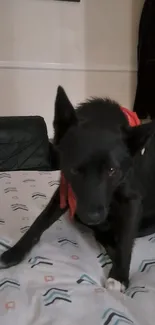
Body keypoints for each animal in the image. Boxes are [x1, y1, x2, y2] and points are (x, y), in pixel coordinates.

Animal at [0, 86, 155, 292]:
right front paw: (15, 252)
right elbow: (40, 221)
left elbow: (126, 240)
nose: (92, 217)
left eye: (112, 171)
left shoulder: (132, 200)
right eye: (75, 170)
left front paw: (119, 276)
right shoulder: (66, 189)